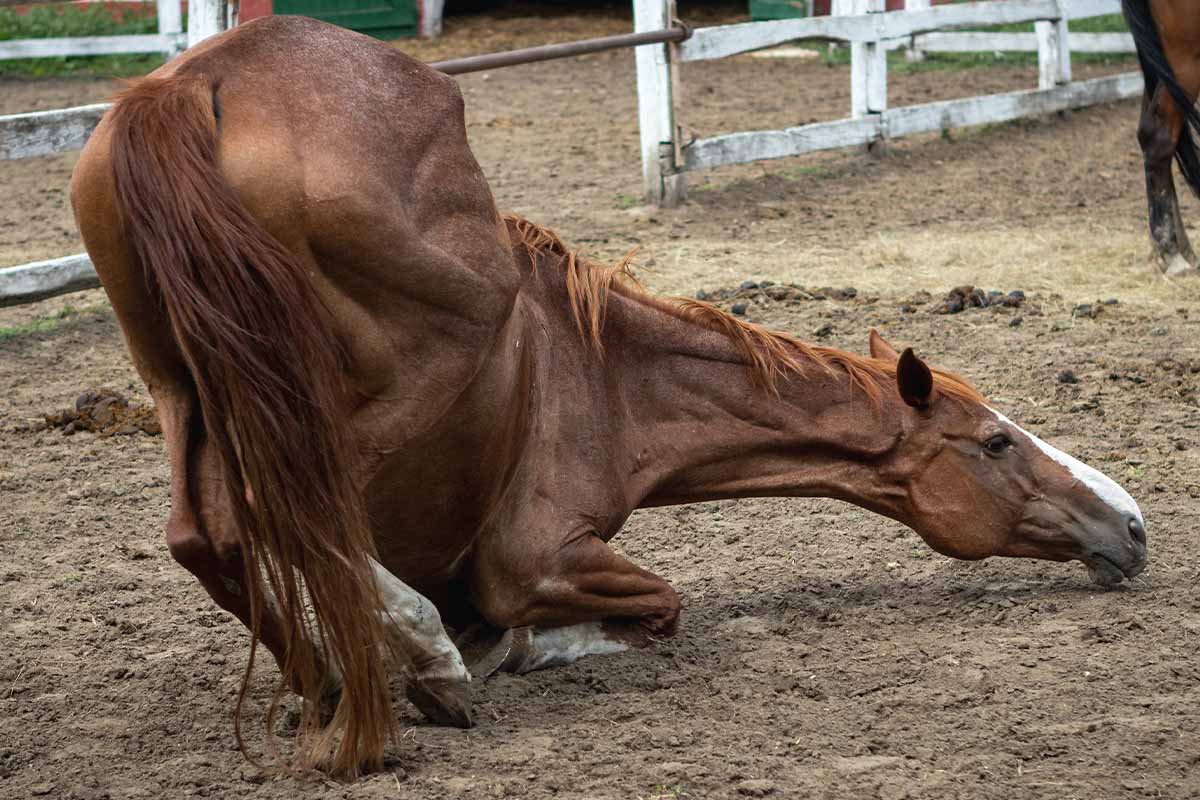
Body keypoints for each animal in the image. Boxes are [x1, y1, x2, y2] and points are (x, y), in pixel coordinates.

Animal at [70, 14, 1147, 777]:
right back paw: (418, 669)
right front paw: (490, 647)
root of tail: (192, 85)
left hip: (183, 387)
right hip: (381, 376)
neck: (603, 370)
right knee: (285, 513)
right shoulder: (535, 552)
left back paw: (340, 685)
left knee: (207, 536)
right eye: (996, 441)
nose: (1131, 524)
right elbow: (654, 605)